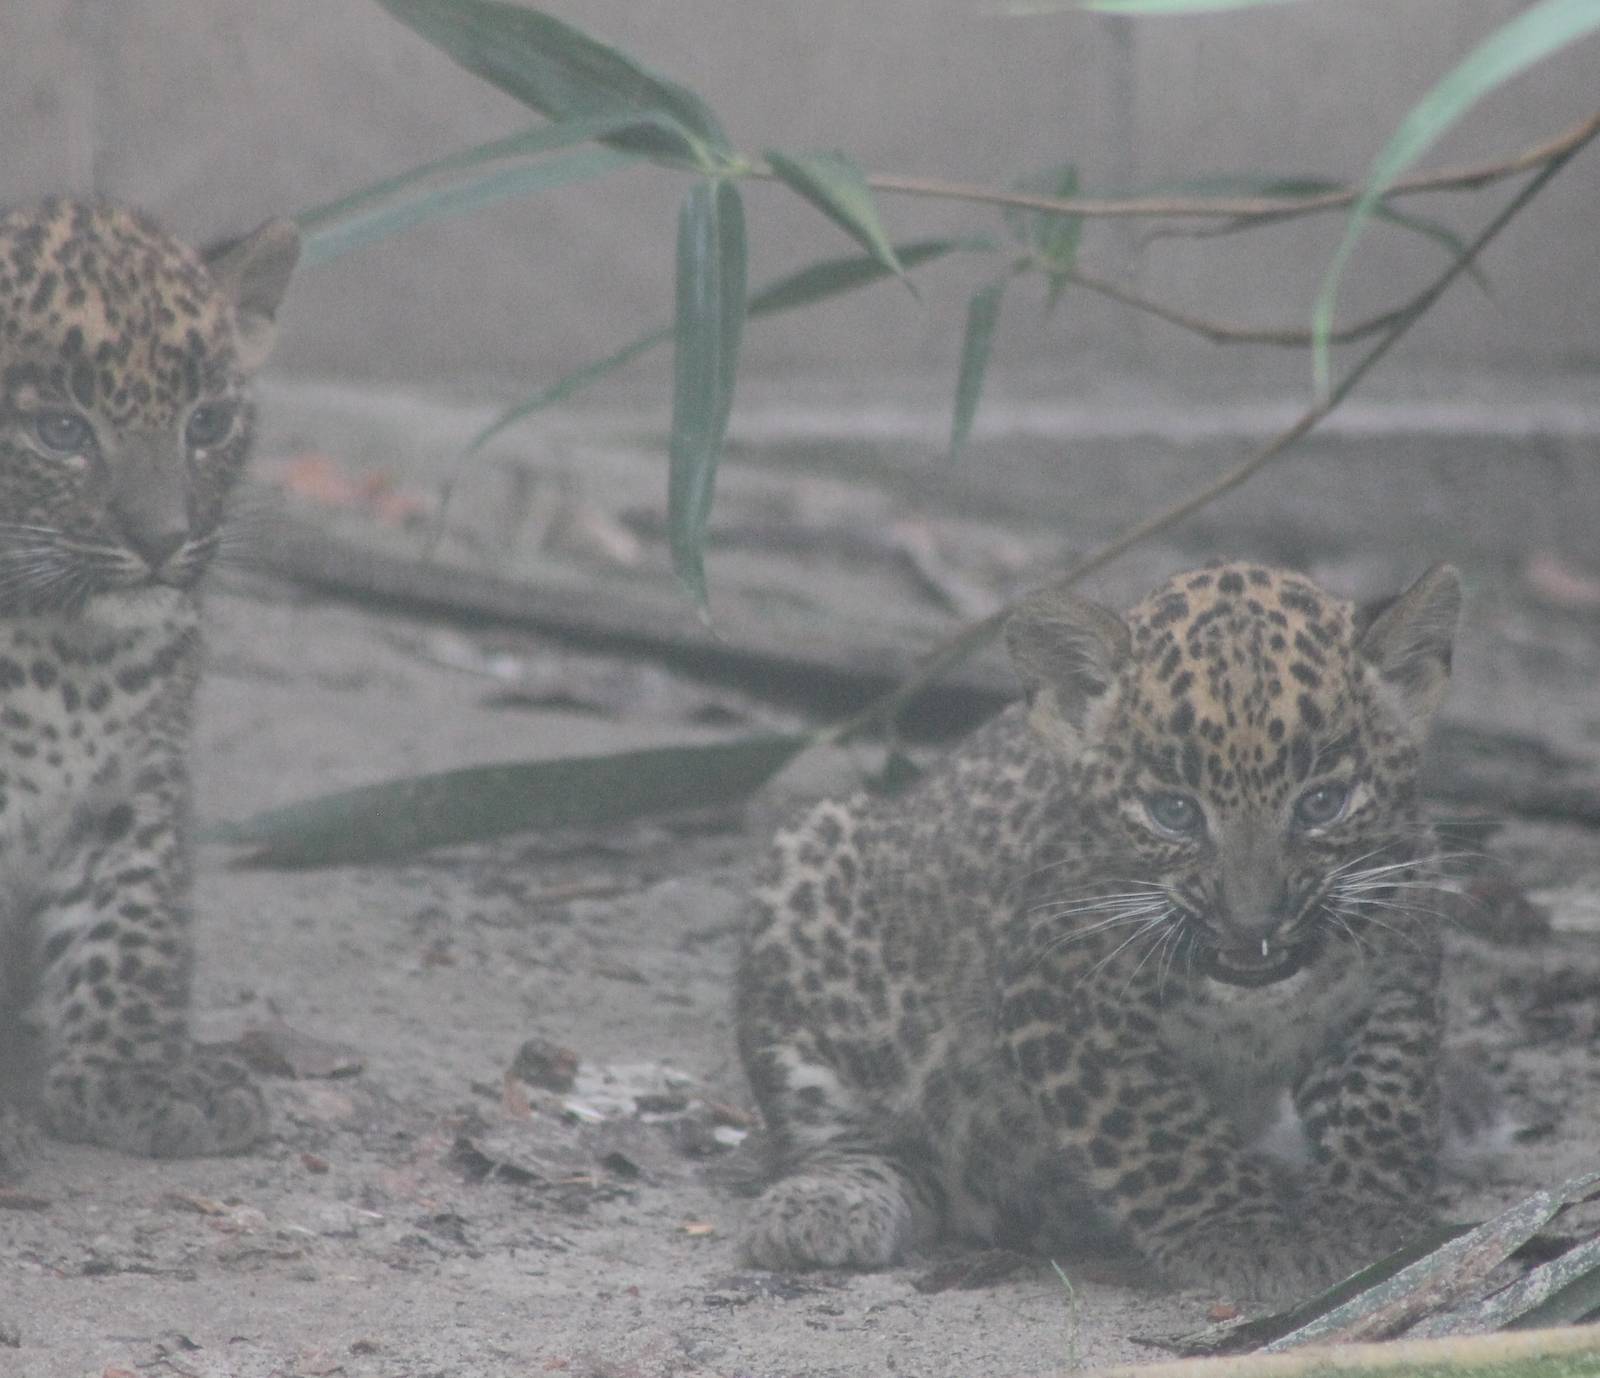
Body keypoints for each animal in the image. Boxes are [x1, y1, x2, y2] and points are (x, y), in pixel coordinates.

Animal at [0, 199, 297, 1170]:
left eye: (206, 425)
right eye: (61, 433)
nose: (164, 540)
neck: (58, 647)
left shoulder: (135, 779)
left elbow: (134, 922)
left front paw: (138, 1080)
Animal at [736, 560, 1463, 1304]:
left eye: (1321, 803)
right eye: (1174, 812)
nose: (1252, 923)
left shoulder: (1395, 972)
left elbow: (1380, 1098)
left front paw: (1367, 1220)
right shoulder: (1060, 1004)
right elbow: (1164, 1130)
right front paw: (1242, 1237)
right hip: (807, 879)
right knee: (853, 1135)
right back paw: (826, 1205)